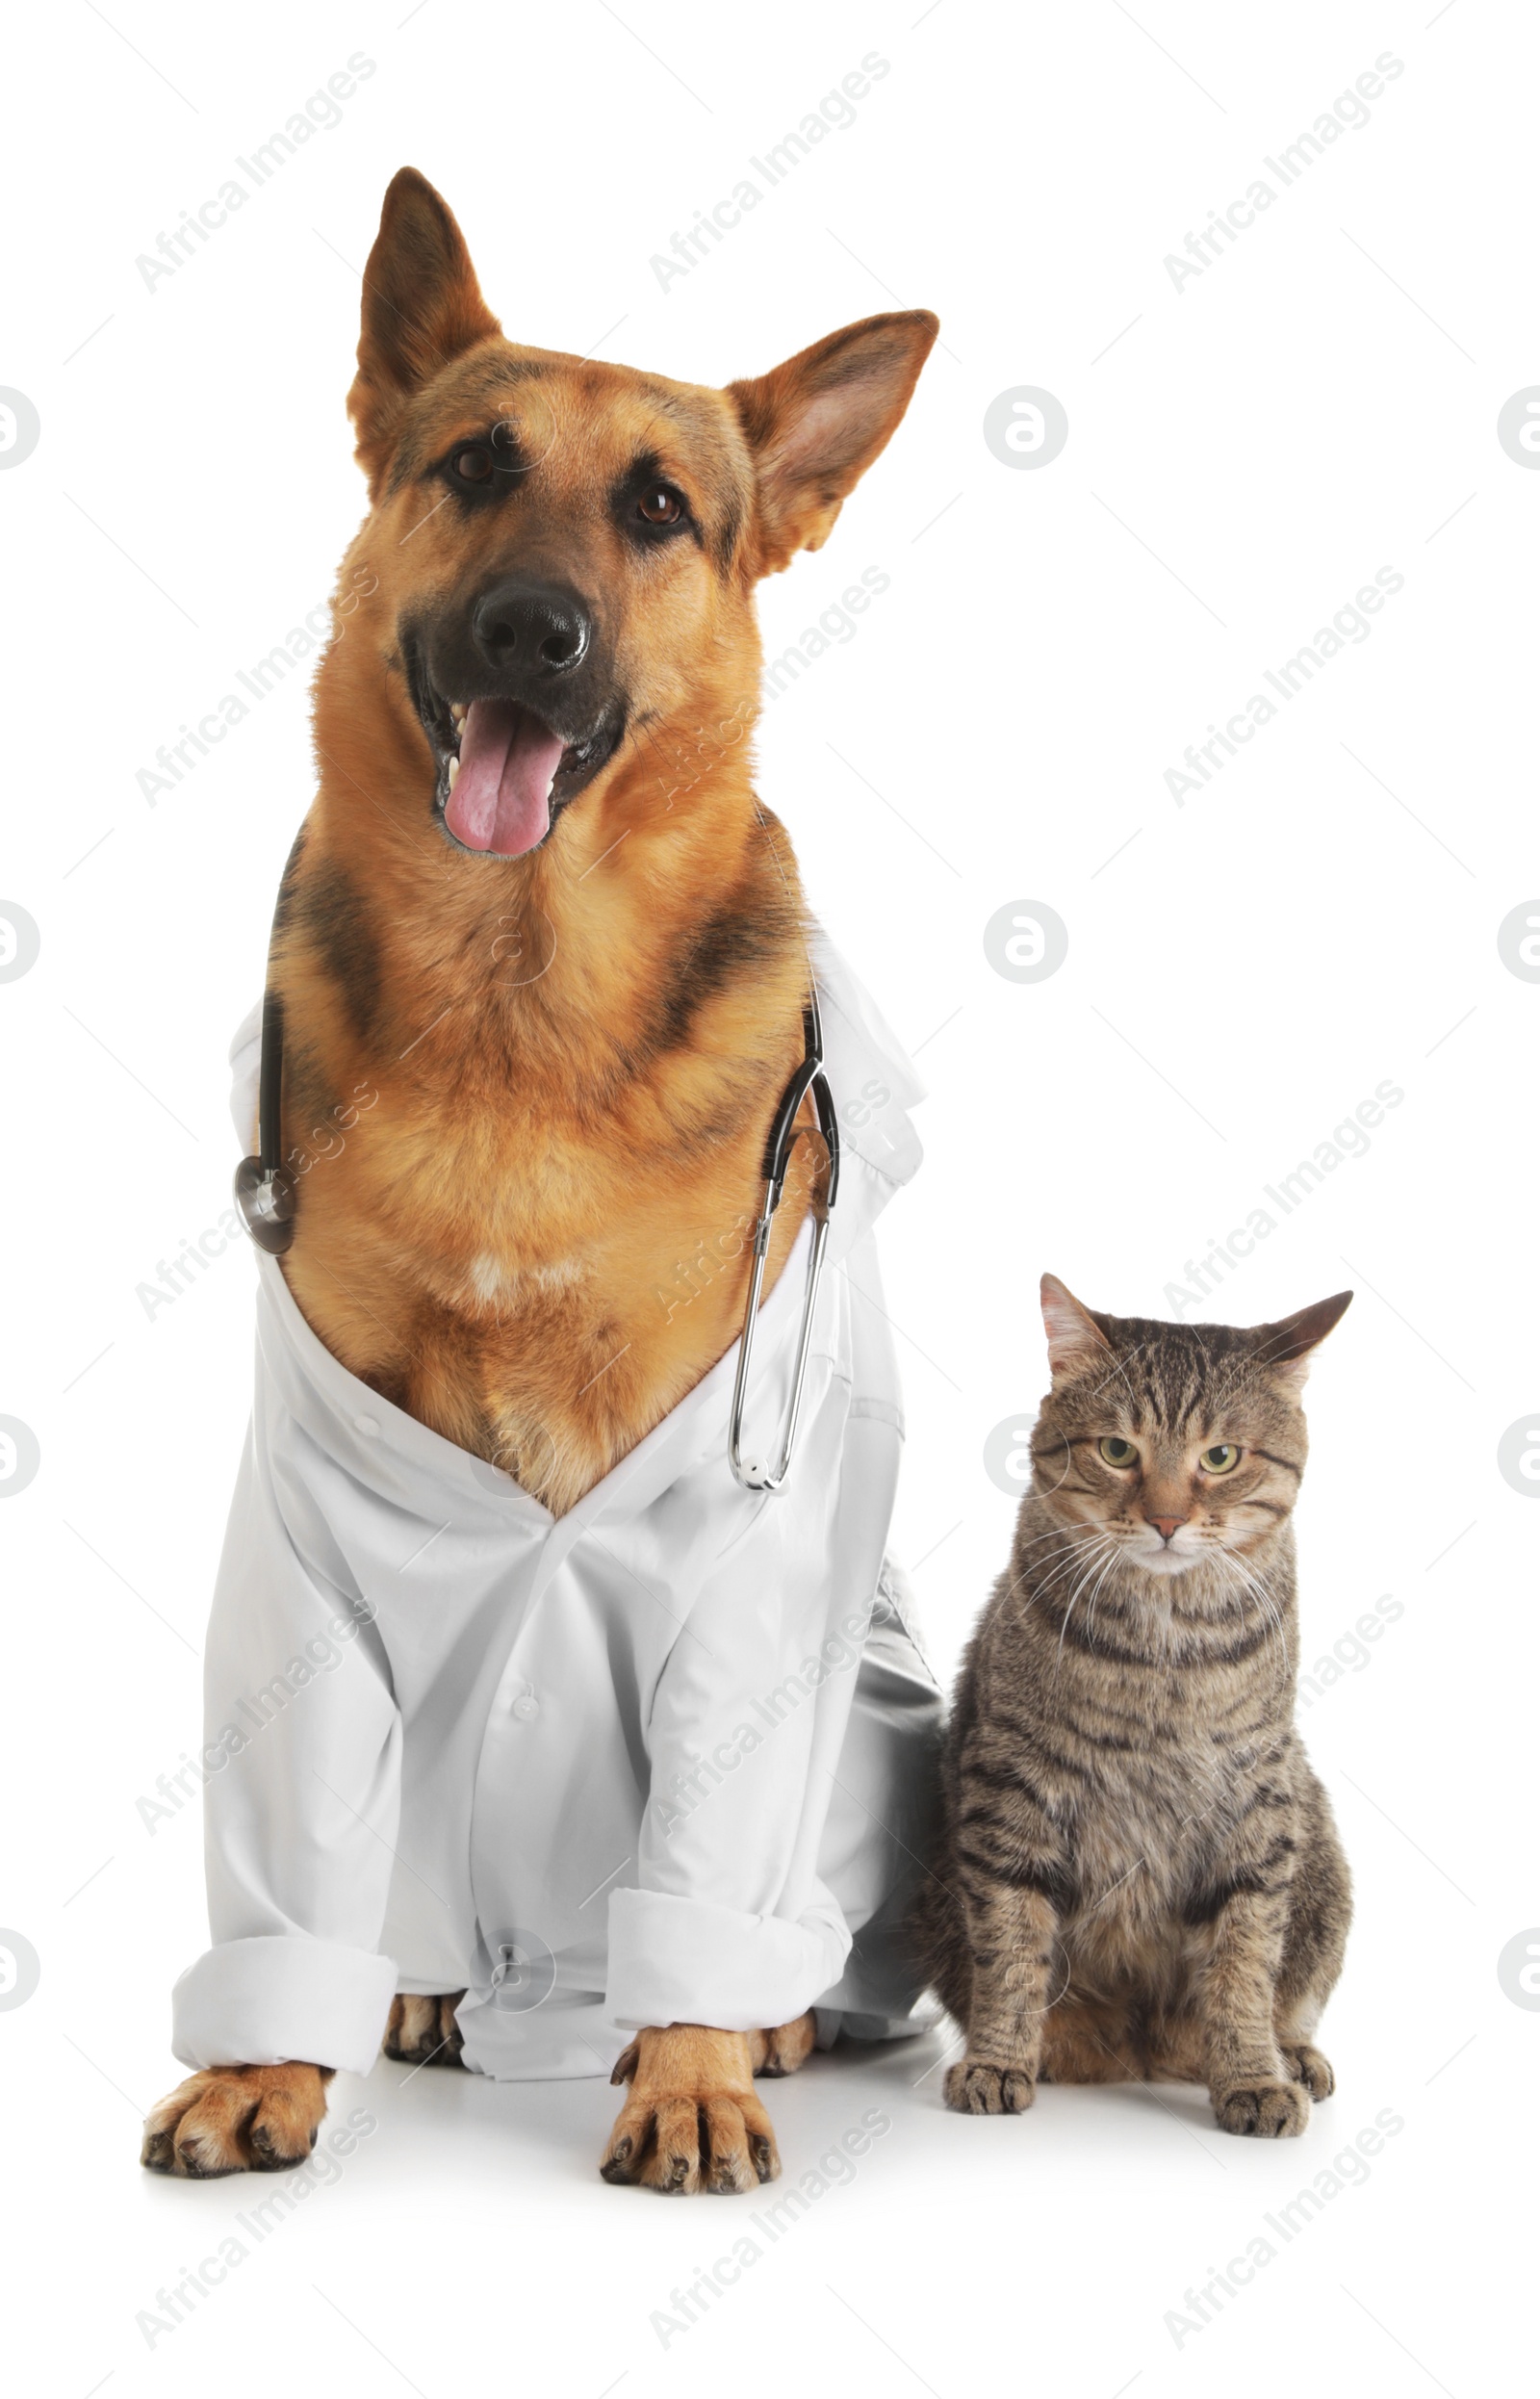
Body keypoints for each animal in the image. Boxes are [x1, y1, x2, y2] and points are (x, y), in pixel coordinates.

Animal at [143, 168, 930, 2197]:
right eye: (477, 465)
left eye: (658, 509)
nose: (528, 633)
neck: (516, 999)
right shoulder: (309, 1529)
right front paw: (262, 2068)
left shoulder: (742, 1553)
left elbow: (712, 1831)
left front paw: (698, 2075)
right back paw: (431, 1989)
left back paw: (753, 2018)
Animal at [916, 1276, 1352, 2139]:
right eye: (1118, 1451)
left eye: (1220, 1458)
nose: (1167, 1519)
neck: (1164, 1647)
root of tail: (1138, 2051)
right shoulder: (1010, 1786)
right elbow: (1010, 1946)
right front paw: (998, 2060)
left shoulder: (1256, 1796)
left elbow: (1245, 1958)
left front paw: (1253, 2075)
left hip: (1318, 1849)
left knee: (1287, 1994)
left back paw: (1294, 2056)